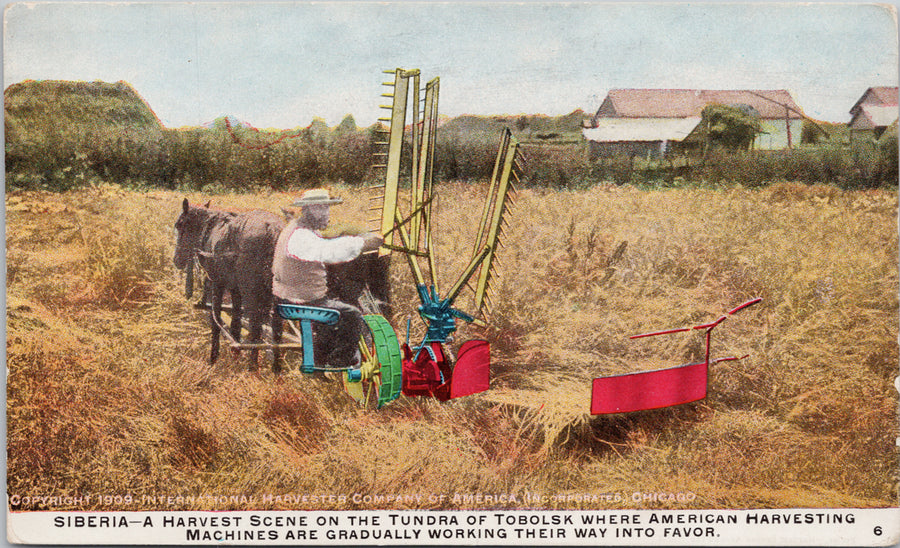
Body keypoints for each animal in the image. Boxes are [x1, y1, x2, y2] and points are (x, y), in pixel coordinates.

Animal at [174, 199, 286, 370]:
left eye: (179, 225)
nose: (176, 260)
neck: (210, 231)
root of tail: (273, 230)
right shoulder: (235, 289)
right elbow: (236, 320)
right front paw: (235, 352)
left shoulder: (216, 284)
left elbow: (216, 318)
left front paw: (213, 357)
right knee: (276, 327)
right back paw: (276, 368)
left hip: (251, 293)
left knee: (256, 327)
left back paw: (253, 366)